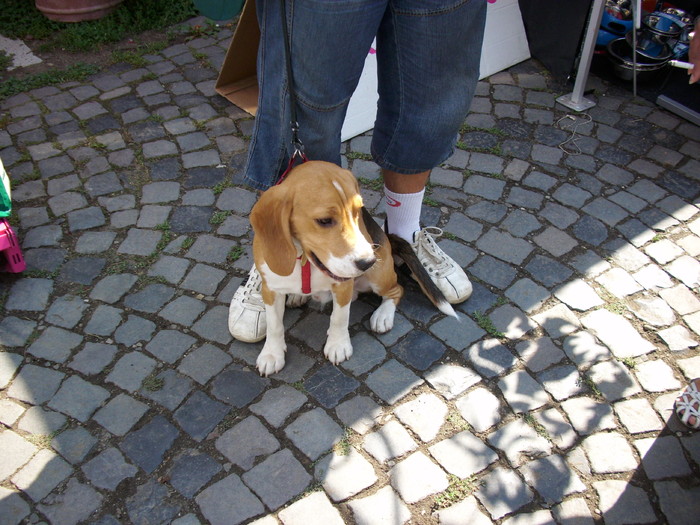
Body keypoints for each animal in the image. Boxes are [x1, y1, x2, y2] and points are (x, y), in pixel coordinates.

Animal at [252, 161, 454, 376]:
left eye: (358, 211)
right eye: (324, 220)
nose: (369, 262)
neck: (305, 260)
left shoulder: (343, 286)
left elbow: (339, 318)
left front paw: (338, 345)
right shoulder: (270, 289)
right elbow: (274, 325)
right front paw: (272, 354)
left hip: (379, 278)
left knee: (397, 290)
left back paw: (383, 315)